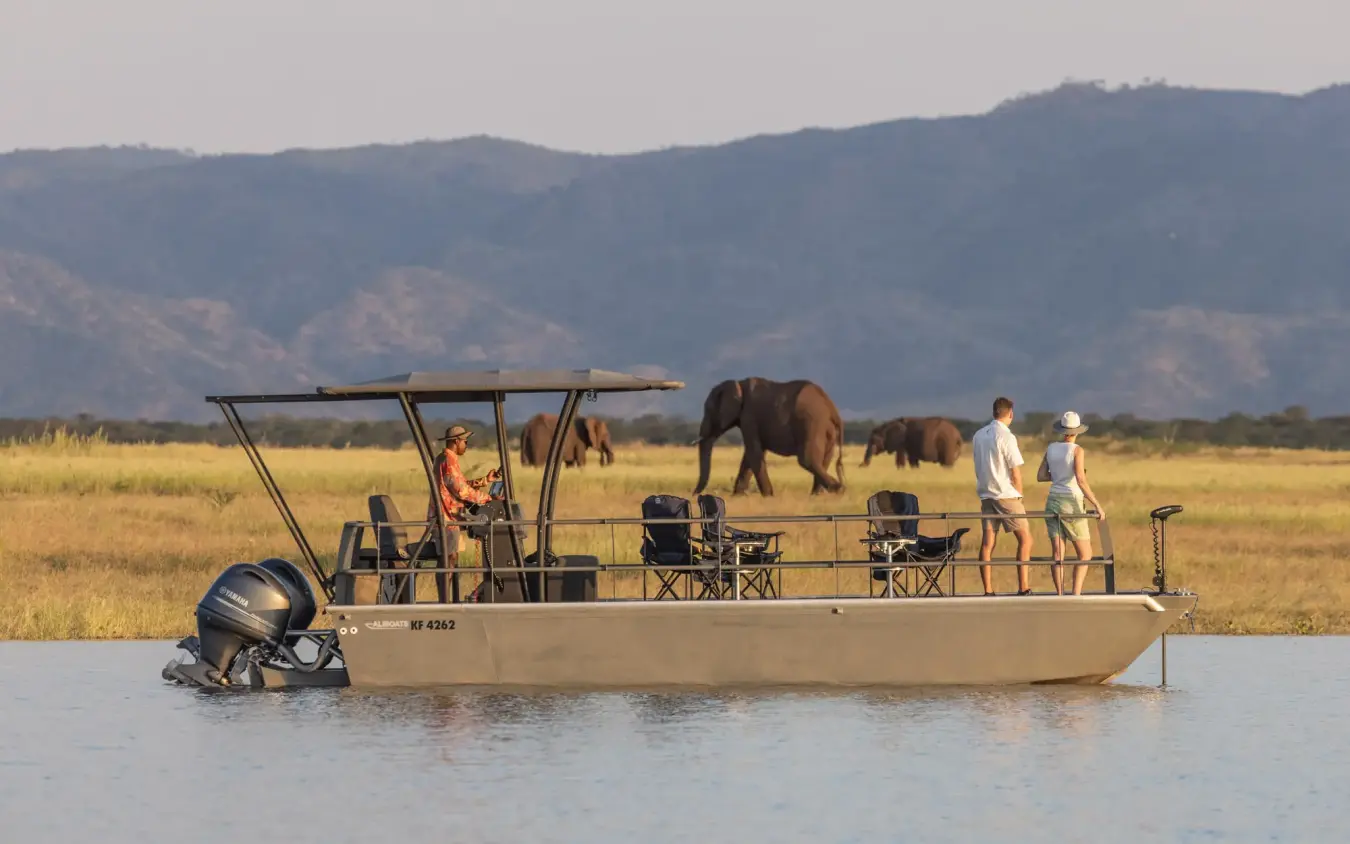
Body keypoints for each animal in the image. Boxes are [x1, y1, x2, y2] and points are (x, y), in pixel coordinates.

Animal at [692, 377, 846, 496]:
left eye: (708, 410)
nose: (694, 495)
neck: (739, 384)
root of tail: (832, 409)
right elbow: (750, 456)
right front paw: (737, 496)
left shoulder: (749, 416)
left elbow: (754, 453)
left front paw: (768, 496)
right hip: (827, 430)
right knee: (824, 460)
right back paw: (817, 495)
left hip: (812, 423)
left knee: (807, 459)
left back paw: (838, 490)